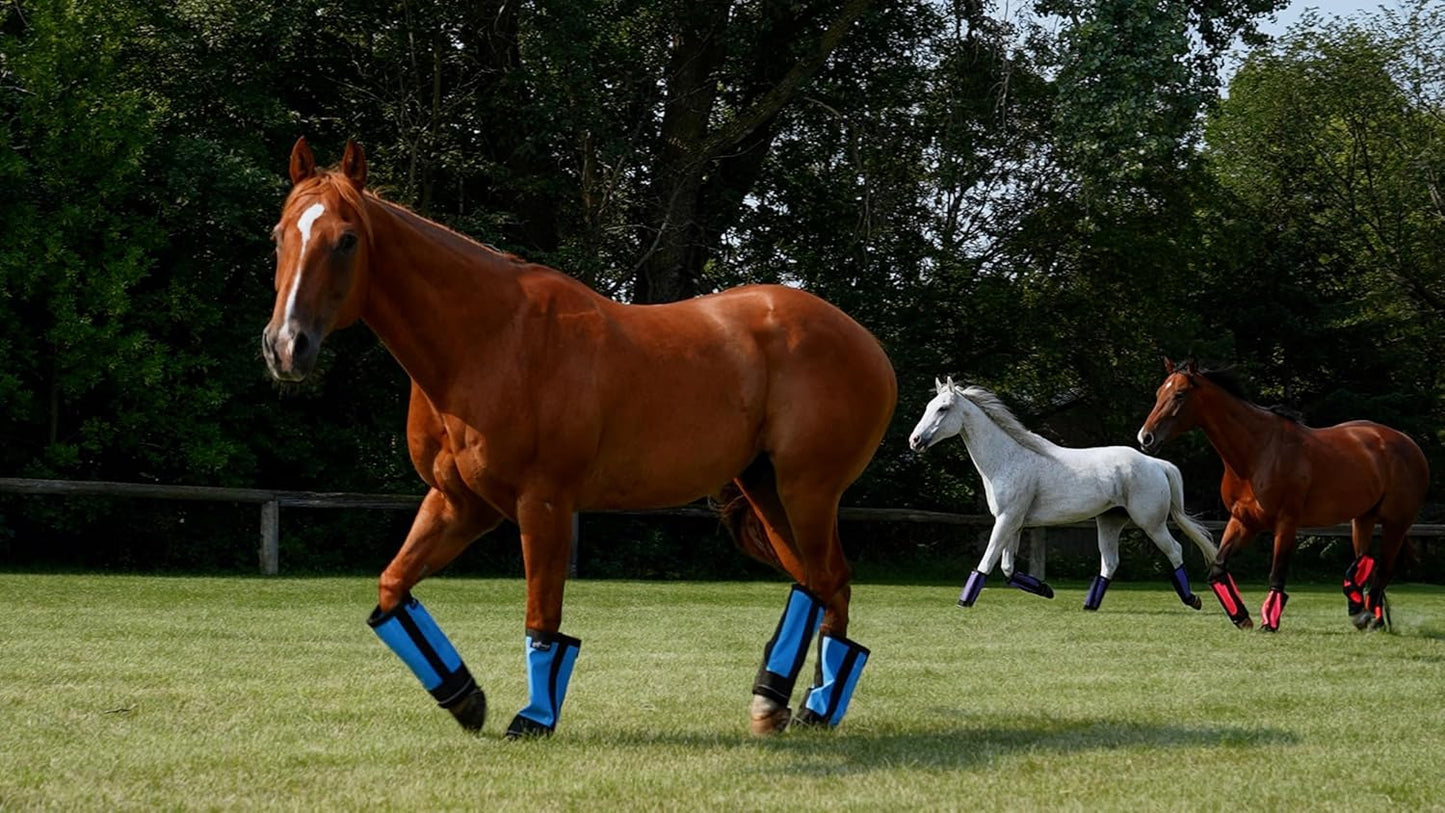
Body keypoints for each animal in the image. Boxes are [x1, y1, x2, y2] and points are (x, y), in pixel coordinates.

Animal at [260, 138, 896, 737]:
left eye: (346, 240)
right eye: (278, 236)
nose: (285, 346)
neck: (490, 342)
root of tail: (868, 345)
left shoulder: (542, 503)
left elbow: (542, 619)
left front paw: (533, 718)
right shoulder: (458, 503)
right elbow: (393, 587)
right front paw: (465, 698)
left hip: (807, 490)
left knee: (828, 581)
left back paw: (810, 708)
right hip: (767, 488)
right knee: (816, 585)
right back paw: (780, 704)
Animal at [908, 378, 1217, 611]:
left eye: (943, 408)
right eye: (929, 406)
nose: (915, 441)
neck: (1007, 459)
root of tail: (1157, 464)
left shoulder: (1007, 520)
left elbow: (986, 562)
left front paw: (964, 601)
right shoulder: (1014, 523)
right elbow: (1008, 569)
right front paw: (1046, 590)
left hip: (1150, 523)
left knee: (1174, 551)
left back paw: (1193, 599)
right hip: (1110, 521)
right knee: (1110, 563)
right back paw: (1089, 605)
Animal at [1137, 359, 1430, 632]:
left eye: (1180, 394)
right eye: (1159, 392)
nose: (1146, 438)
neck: (1258, 453)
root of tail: (1408, 444)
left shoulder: (1286, 523)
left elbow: (1276, 575)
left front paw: (1269, 622)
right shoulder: (1243, 522)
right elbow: (1217, 569)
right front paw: (1241, 617)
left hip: (1395, 524)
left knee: (1383, 570)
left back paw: (1372, 619)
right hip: (1363, 520)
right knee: (1365, 561)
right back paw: (1362, 613)